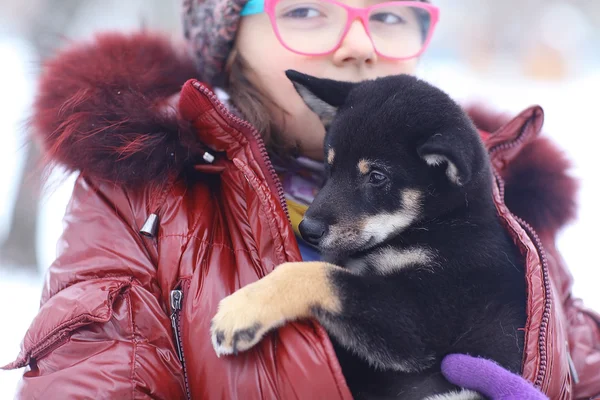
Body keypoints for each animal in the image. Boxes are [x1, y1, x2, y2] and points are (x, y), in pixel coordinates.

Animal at [210, 70, 524, 398]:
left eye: (376, 177)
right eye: (330, 166)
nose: (307, 230)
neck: (443, 223)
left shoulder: (424, 315)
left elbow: (316, 274)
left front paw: (243, 308)